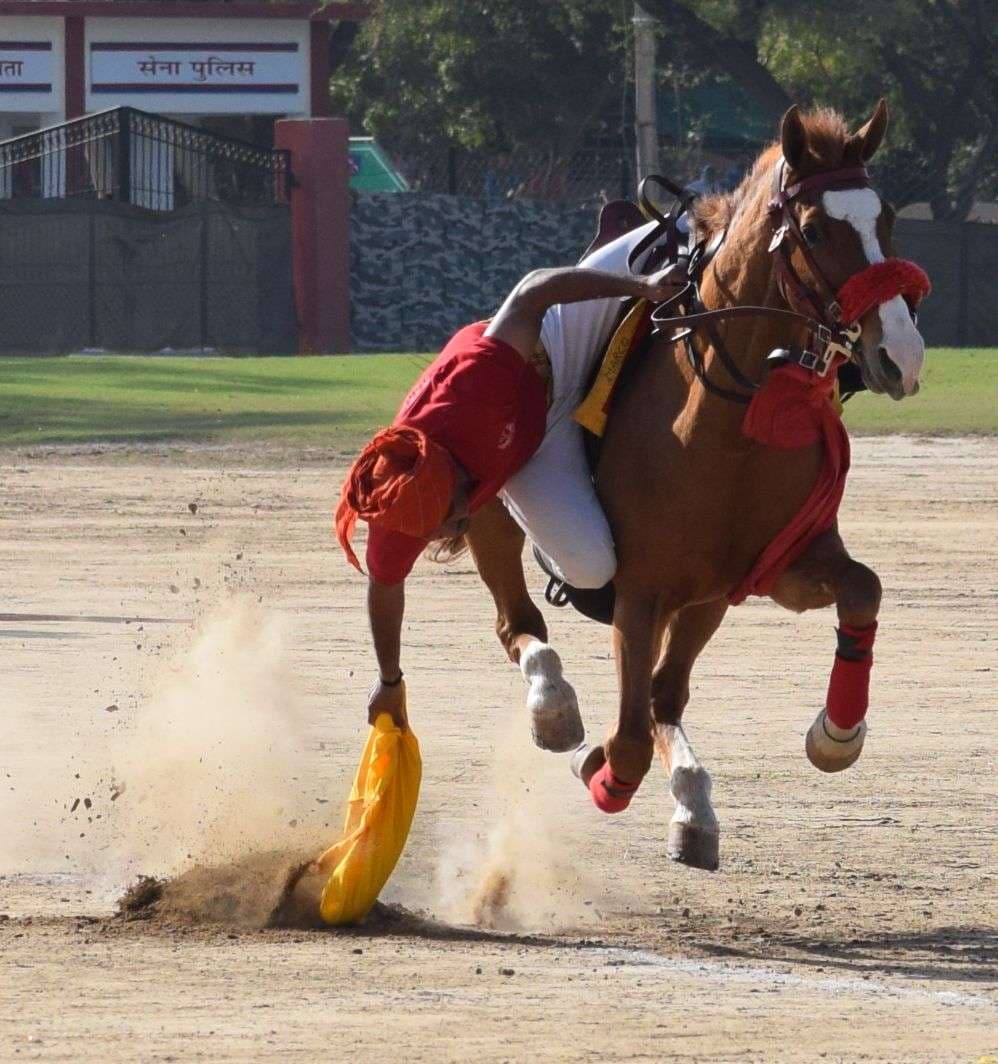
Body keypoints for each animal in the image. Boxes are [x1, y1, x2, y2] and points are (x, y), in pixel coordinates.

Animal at [459, 100, 927, 868]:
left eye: (886, 218)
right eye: (816, 229)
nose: (901, 355)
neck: (728, 421)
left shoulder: (767, 566)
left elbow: (864, 587)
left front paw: (835, 734)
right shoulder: (640, 592)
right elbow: (624, 738)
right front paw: (601, 770)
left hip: (706, 598)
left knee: (664, 693)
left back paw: (691, 802)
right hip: (499, 520)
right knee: (520, 625)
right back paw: (555, 709)